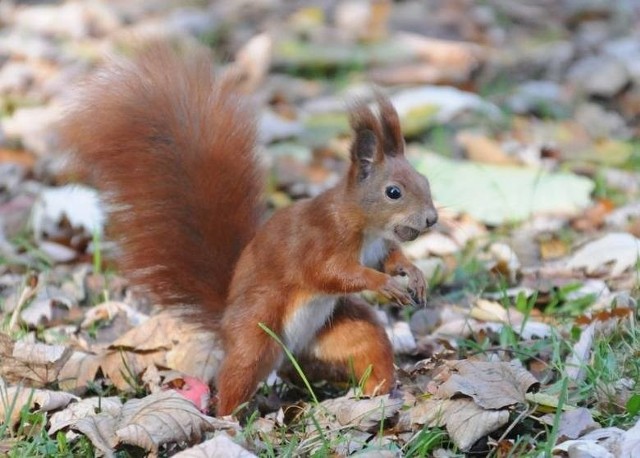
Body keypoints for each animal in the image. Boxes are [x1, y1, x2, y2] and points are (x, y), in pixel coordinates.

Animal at [60, 43, 438, 418]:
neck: (364, 224)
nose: (432, 219)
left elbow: (390, 258)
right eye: (393, 192)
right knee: (237, 375)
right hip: (255, 334)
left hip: (337, 330)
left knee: (363, 345)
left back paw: (379, 391)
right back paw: (229, 419)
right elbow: (331, 272)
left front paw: (412, 274)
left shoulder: (378, 246)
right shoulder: (321, 240)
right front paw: (385, 284)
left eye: (425, 180)